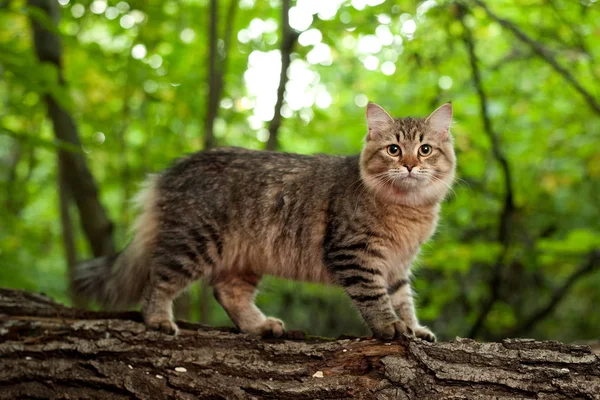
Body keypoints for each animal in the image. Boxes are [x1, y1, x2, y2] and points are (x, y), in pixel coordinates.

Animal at [74, 102, 454, 340]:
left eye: (424, 150)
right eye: (393, 149)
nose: (409, 165)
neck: (409, 210)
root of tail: (170, 172)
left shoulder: (398, 264)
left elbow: (403, 299)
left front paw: (414, 328)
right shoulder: (355, 253)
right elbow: (375, 297)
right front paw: (390, 327)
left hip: (245, 257)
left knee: (227, 293)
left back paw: (258, 326)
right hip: (194, 242)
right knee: (158, 280)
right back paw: (158, 320)